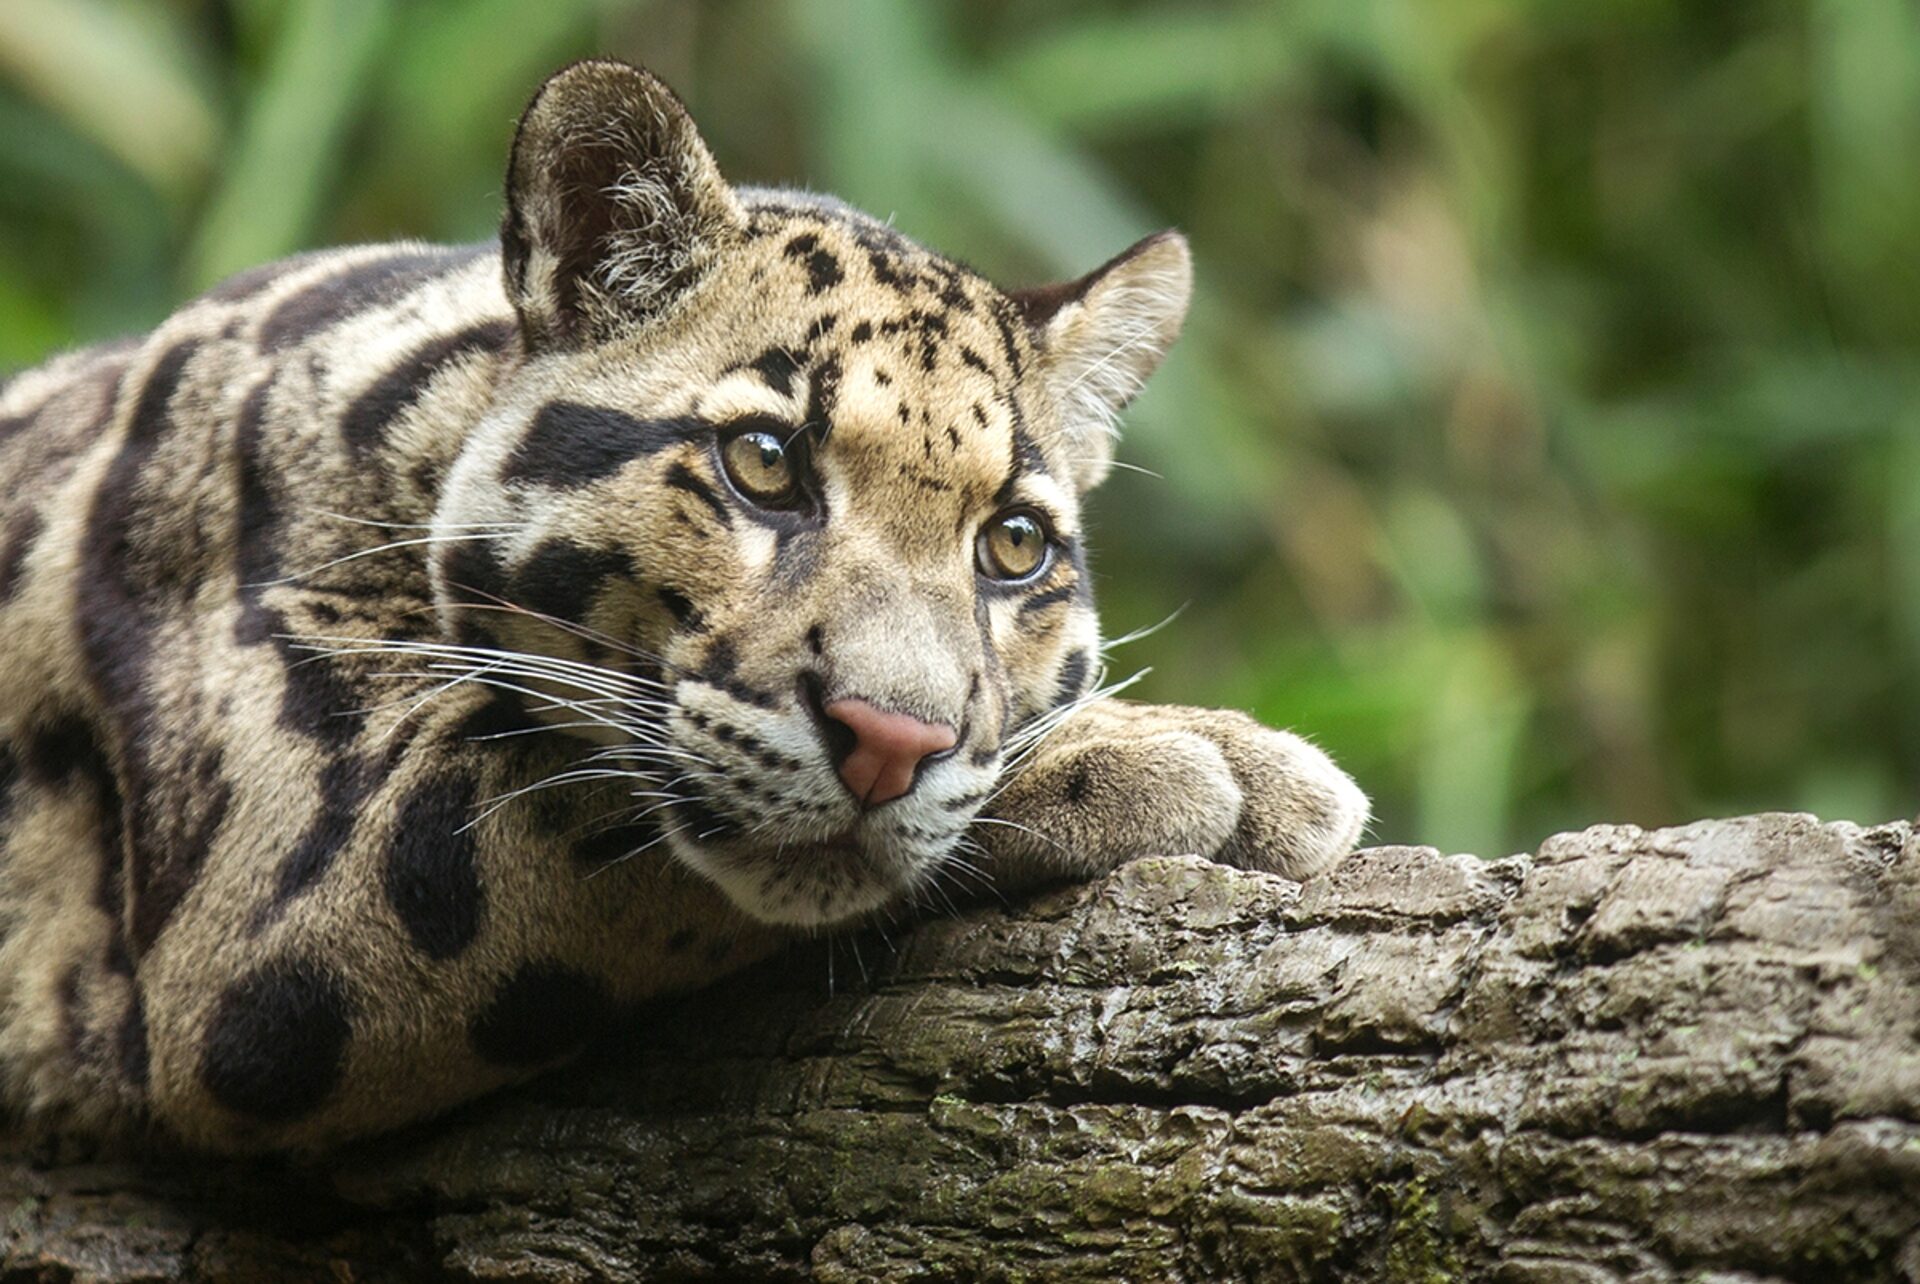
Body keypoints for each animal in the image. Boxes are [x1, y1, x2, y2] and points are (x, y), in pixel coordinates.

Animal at [0, 59, 1369, 1154]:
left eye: (1014, 545)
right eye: (763, 463)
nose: (893, 743)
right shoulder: (268, 897)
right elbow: (602, 810)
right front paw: (1190, 757)